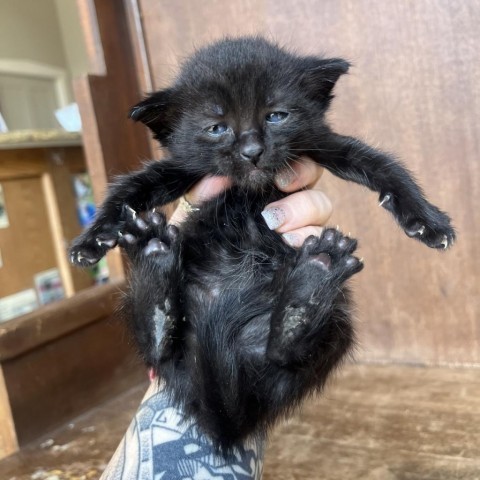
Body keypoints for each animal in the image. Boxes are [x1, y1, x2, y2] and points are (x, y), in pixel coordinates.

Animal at [69, 37, 456, 450]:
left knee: (280, 355)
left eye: (276, 116)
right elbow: (129, 187)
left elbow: (383, 167)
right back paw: (154, 269)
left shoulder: (322, 143)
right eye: (217, 127)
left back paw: (307, 290)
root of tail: (229, 417)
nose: (252, 150)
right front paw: (91, 240)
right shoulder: (183, 167)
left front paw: (429, 221)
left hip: (336, 323)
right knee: (158, 350)